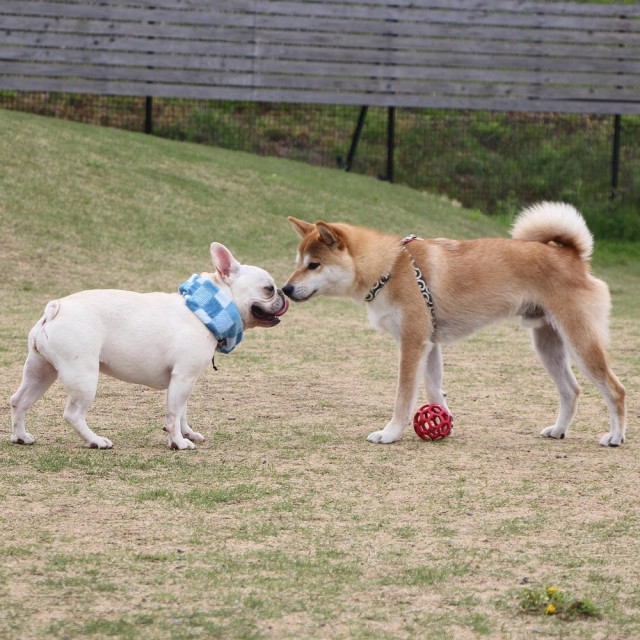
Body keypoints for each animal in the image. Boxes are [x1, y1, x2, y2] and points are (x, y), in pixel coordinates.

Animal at [10, 244, 288, 450]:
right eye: (268, 289)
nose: (283, 293)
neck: (204, 311)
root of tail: (55, 309)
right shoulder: (184, 376)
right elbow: (173, 414)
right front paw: (178, 442)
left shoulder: (183, 381)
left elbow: (181, 411)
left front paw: (187, 433)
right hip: (83, 376)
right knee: (73, 414)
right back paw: (96, 440)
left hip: (40, 371)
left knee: (19, 401)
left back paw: (21, 437)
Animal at [284, 202, 624, 448]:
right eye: (298, 263)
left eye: (314, 265)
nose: (285, 289)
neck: (390, 268)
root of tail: (573, 256)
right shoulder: (430, 345)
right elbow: (434, 391)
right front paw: (443, 424)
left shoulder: (412, 343)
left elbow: (403, 396)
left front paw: (390, 433)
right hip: (547, 345)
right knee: (571, 391)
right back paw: (558, 430)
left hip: (580, 343)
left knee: (615, 390)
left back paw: (616, 437)